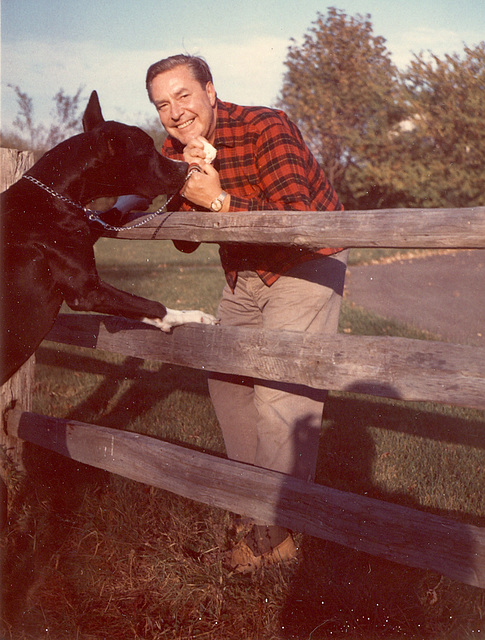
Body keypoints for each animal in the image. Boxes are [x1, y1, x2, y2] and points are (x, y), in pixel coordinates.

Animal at [0, 90, 216, 384]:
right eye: (146, 150)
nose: (185, 167)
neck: (50, 197)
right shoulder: (88, 290)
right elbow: (153, 305)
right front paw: (195, 316)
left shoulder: (83, 225)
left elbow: (110, 214)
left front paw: (132, 199)